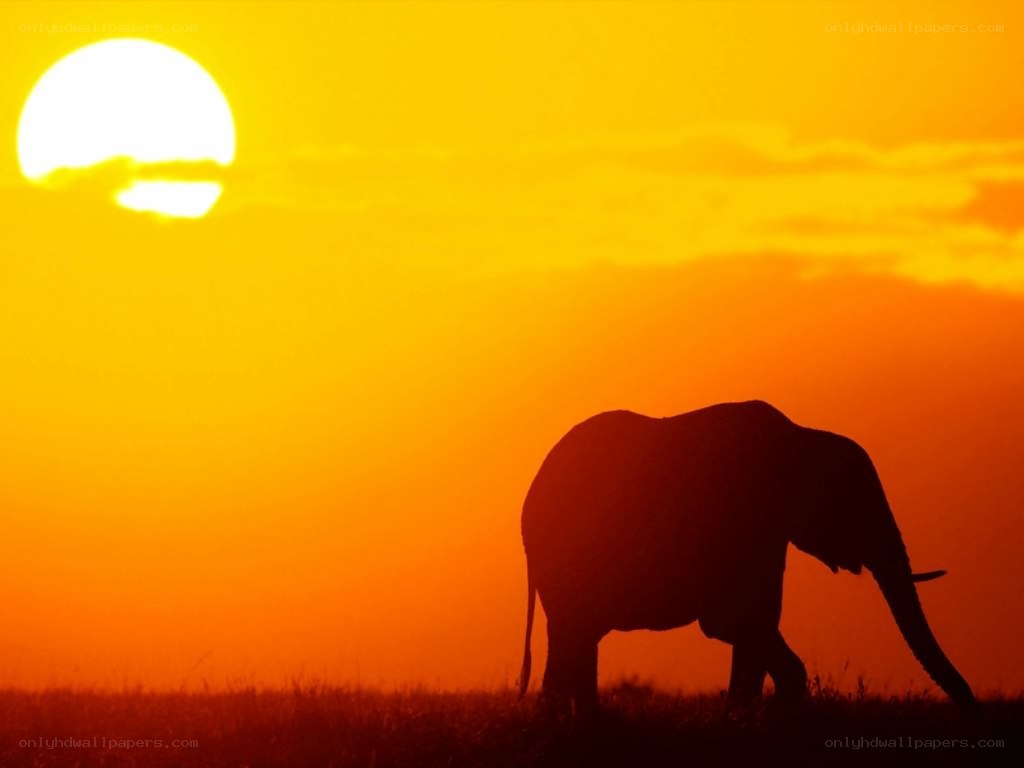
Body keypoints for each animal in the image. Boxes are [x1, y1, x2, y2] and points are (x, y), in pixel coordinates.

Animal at [517, 400, 974, 711]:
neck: (801, 438)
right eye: (855, 505)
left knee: (576, 638)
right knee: (574, 635)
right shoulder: (742, 523)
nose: (970, 708)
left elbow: (750, 626)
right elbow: (735, 622)